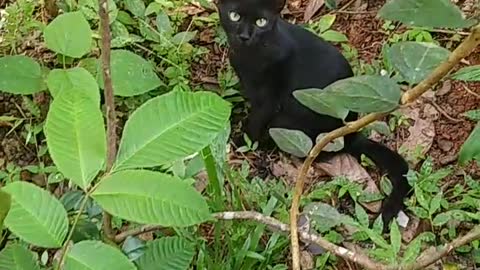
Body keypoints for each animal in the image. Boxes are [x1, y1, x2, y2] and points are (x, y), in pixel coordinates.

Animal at [217, 0, 408, 229]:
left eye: (261, 22)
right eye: (234, 16)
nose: (245, 35)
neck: (250, 58)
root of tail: (351, 135)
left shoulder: (269, 99)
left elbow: (254, 122)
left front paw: (238, 143)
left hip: (287, 125)